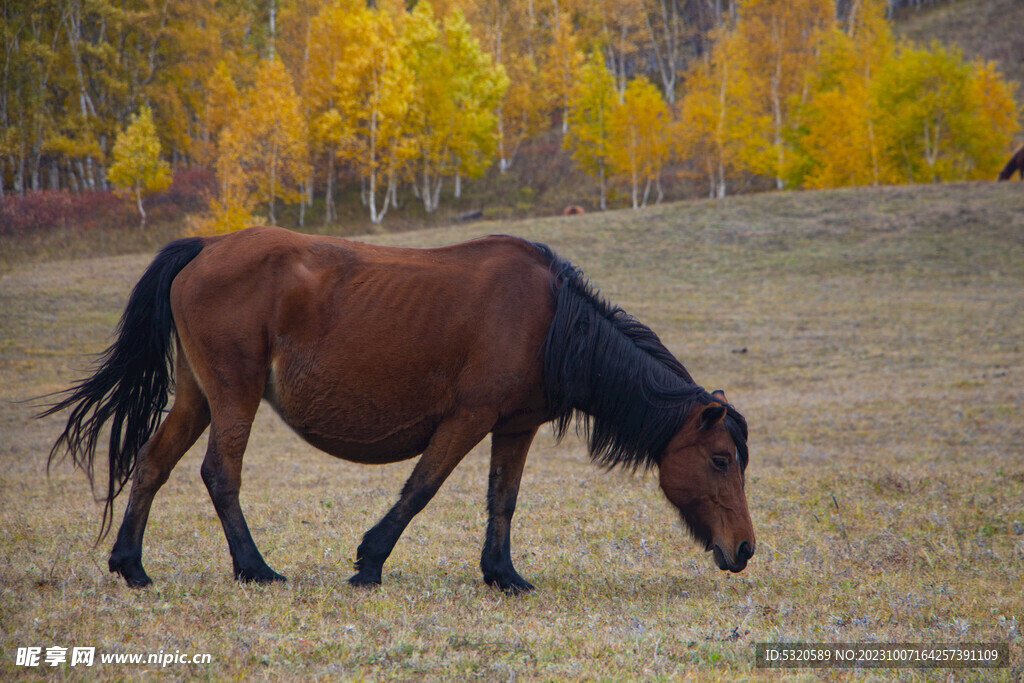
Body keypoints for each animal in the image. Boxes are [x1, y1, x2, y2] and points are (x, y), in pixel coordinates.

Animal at [41, 228, 753, 593]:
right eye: (721, 460)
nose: (743, 549)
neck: (552, 322)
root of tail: (205, 247)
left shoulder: (514, 426)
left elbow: (503, 500)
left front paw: (503, 574)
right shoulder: (466, 419)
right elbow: (421, 489)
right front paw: (369, 563)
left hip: (197, 397)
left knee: (153, 465)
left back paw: (132, 566)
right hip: (233, 396)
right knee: (220, 475)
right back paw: (254, 568)